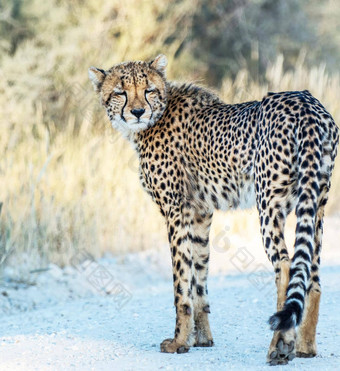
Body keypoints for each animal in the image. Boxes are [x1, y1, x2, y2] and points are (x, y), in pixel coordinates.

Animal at [89, 55, 338, 366]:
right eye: (120, 92)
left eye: (148, 90)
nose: (137, 112)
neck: (157, 114)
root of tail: (305, 100)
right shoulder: (200, 213)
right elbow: (199, 276)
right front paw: (201, 339)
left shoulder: (176, 210)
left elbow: (181, 283)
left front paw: (179, 342)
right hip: (317, 203)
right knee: (312, 273)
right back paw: (305, 347)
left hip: (269, 202)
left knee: (285, 265)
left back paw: (280, 347)